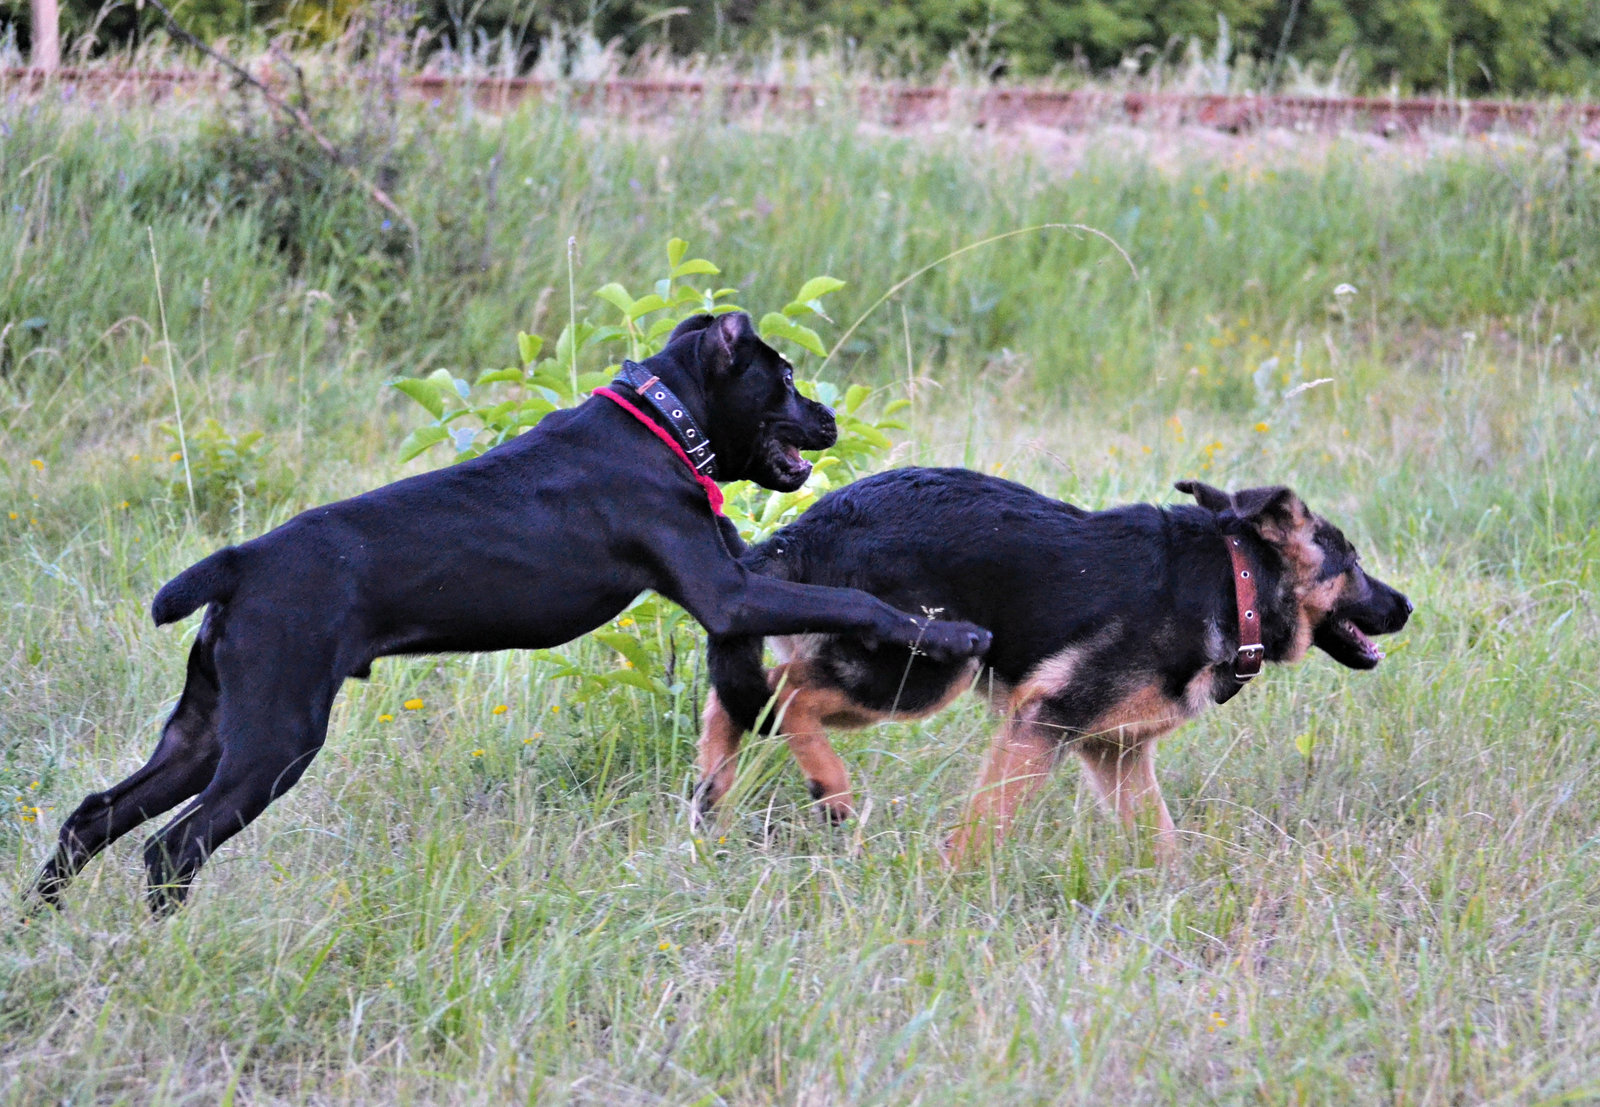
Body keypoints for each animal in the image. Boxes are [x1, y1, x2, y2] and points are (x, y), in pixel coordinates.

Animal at [31, 315, 985, 915]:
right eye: (782, 377)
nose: (827, 415)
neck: (660, 419)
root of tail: (241, 562)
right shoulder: (730, 592)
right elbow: (855, 598)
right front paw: (954, 631)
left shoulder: (740, 575)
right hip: (274, 737)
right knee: (171, 849)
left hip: (204, 730)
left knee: (92, 816)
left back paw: (42, 923)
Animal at [700, 467, 1414, 857]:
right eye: (1352, 564)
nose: (1407, 606)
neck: (1234, 583)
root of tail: (795, 534)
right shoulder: (1043, 719)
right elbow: (986, 824)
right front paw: (950, 884)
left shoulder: (1116, 752)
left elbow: (1162, 841)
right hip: (923, 671)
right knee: (784, 693)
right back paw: (830, 788)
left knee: (735, 698)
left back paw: (711, 804)